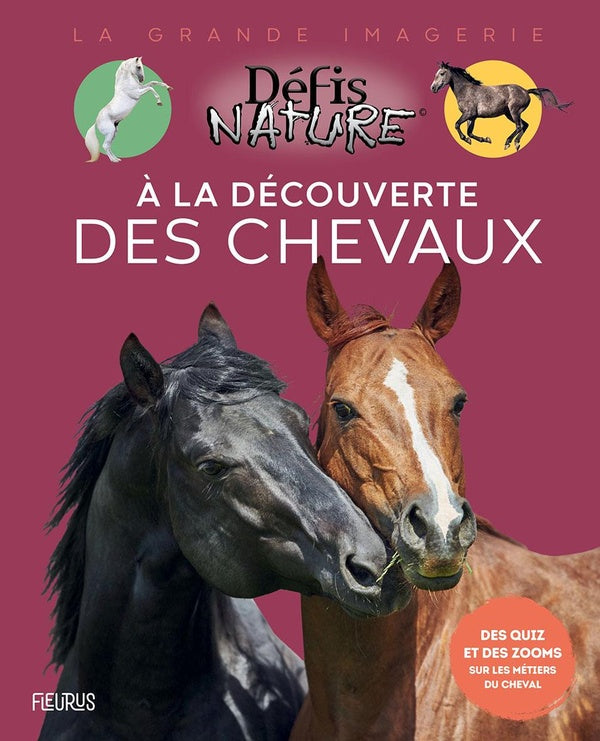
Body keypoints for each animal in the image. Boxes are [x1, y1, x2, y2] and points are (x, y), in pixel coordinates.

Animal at [430, 61, 571, 151]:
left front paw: (466, 139)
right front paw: (485, 139)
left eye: (442, 73)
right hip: (509, 114)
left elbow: (457, 125)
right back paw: (516, 143)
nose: (433, 88)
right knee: (524, 125)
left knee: (519, 126)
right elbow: (470, 132)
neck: (466, 90)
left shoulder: (468, 113)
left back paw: (508, 143)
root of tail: (526, 91)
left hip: (514, 111)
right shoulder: (472, 117)